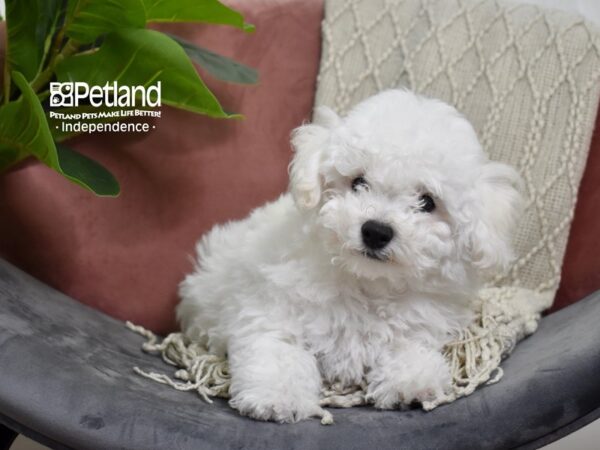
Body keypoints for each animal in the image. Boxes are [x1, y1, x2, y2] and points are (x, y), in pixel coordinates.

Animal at [177, 90, 520, 422]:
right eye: (358, 182)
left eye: (427, 202)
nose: (376, 231)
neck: (365, 282)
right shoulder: (269, 310)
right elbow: (279, 348)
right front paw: (277, 397)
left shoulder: (421, 322)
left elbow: (410, 346)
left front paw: (411, 382)